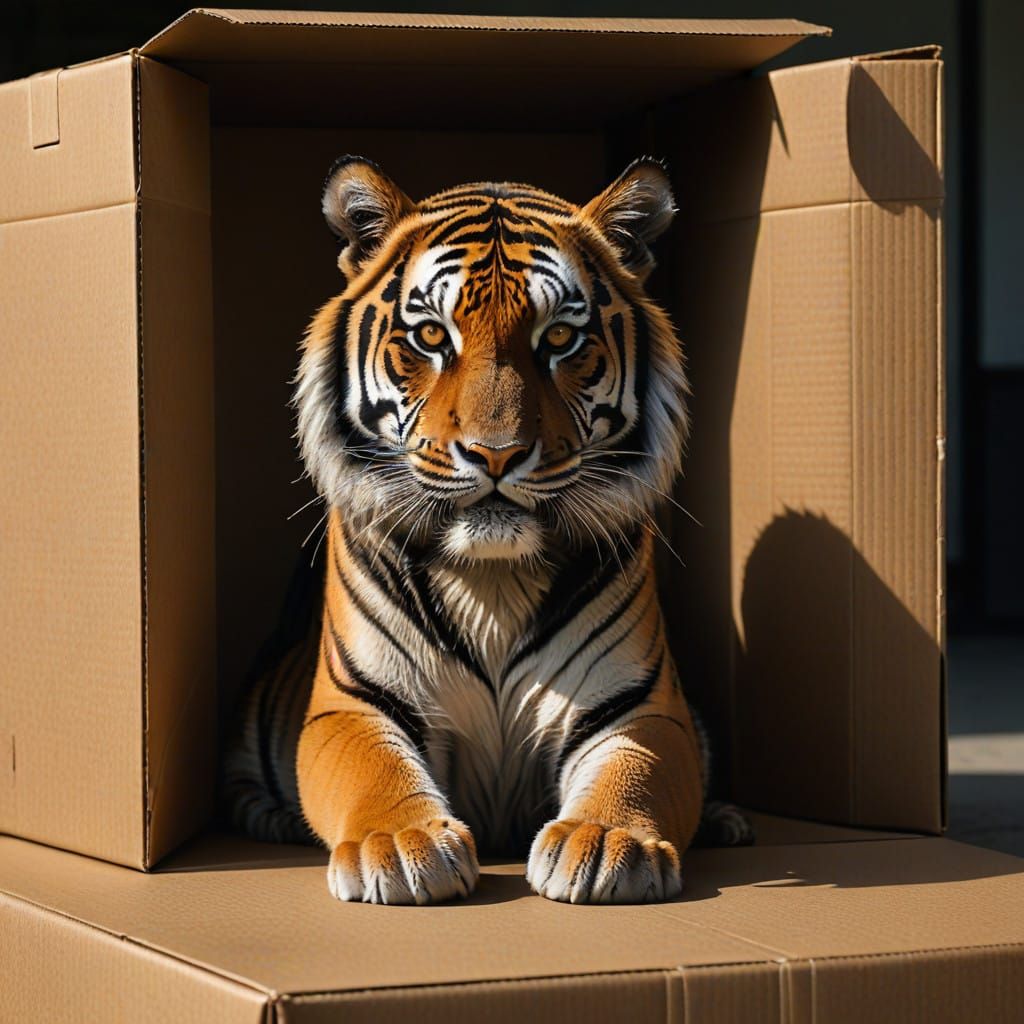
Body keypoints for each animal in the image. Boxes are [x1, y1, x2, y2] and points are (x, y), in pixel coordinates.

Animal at [222, 155, 753, 905]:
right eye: (431, 337)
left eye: (558, 338)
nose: (496, 454)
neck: (493, 578)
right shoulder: (354, 703)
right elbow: (373, 769)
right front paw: (402, 846)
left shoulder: (639, 704)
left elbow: (636, 769)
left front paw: (604, 843)